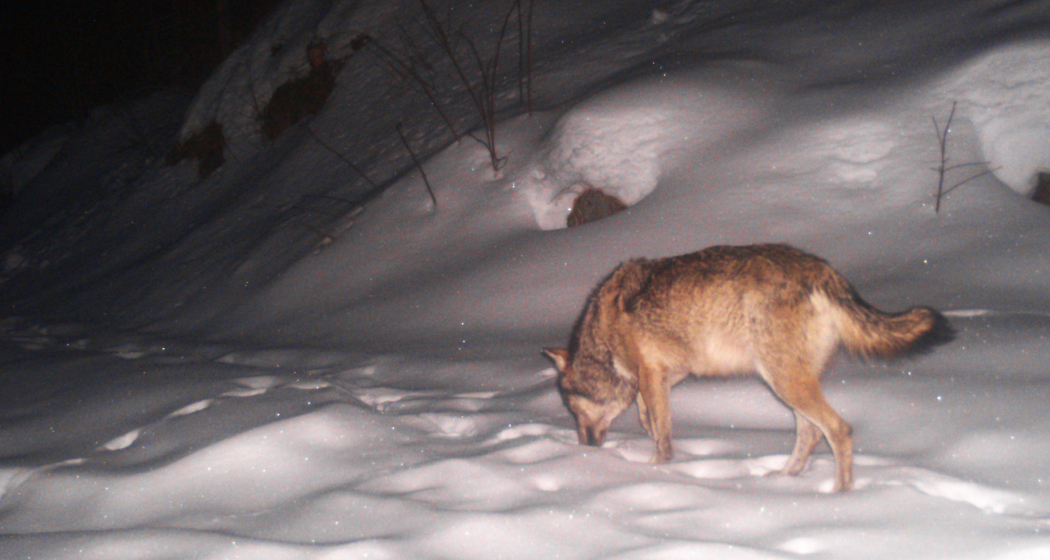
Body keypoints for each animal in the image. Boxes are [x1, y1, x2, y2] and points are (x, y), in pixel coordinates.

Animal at [543, 244, 952, 491]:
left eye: (570, 409)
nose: (584, 449)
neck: (603, 328)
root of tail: (823, 271)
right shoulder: (665, 376)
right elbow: (650, 417)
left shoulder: (650, 373)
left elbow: (661, 435)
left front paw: (654, 471)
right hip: (788, 385)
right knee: (810, 433)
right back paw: (782, 480)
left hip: (784, 382)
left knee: (838, 430)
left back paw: (839, 495)